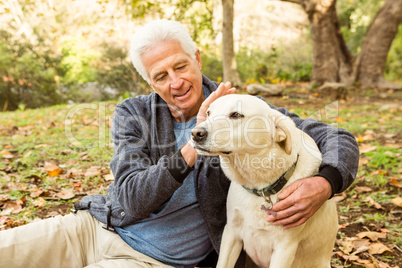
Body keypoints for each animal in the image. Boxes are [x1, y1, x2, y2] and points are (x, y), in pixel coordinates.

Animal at [190, 94, 338, 268]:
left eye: (236, 115)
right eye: (208, 113)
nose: (195, 133)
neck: (260, 187)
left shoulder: (284, 248)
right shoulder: (231, 233)